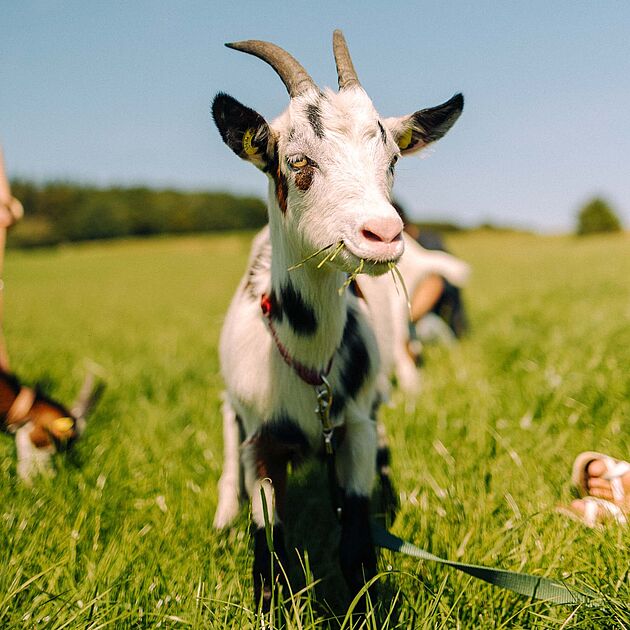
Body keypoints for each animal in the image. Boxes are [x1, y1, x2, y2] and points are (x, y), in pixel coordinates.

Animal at [212, 32, 464, 608]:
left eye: (392, 158)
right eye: (297, 159)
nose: (383, 233)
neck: (308, 362)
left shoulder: (354, 429)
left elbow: (356, 542)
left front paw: (368, 607)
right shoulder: (261, 442)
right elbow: (269, 546)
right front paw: (270, 606)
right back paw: (221, 513)